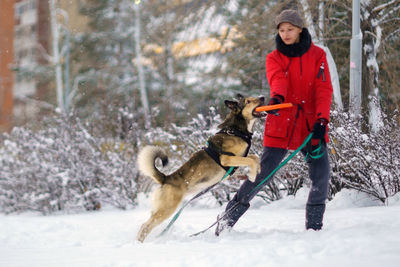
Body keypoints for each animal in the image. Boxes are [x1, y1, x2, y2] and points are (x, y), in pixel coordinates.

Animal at [136, 94, 264, 243]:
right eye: (249, 101)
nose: (262, 97)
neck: (235, 130)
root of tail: (165, 178)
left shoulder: (240, 157)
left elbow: (254, 157)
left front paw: (257, 169)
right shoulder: (226, 159)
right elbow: (250, 160)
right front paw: (253, 175)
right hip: (167, 209)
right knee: (145, 226)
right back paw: (139, 244)